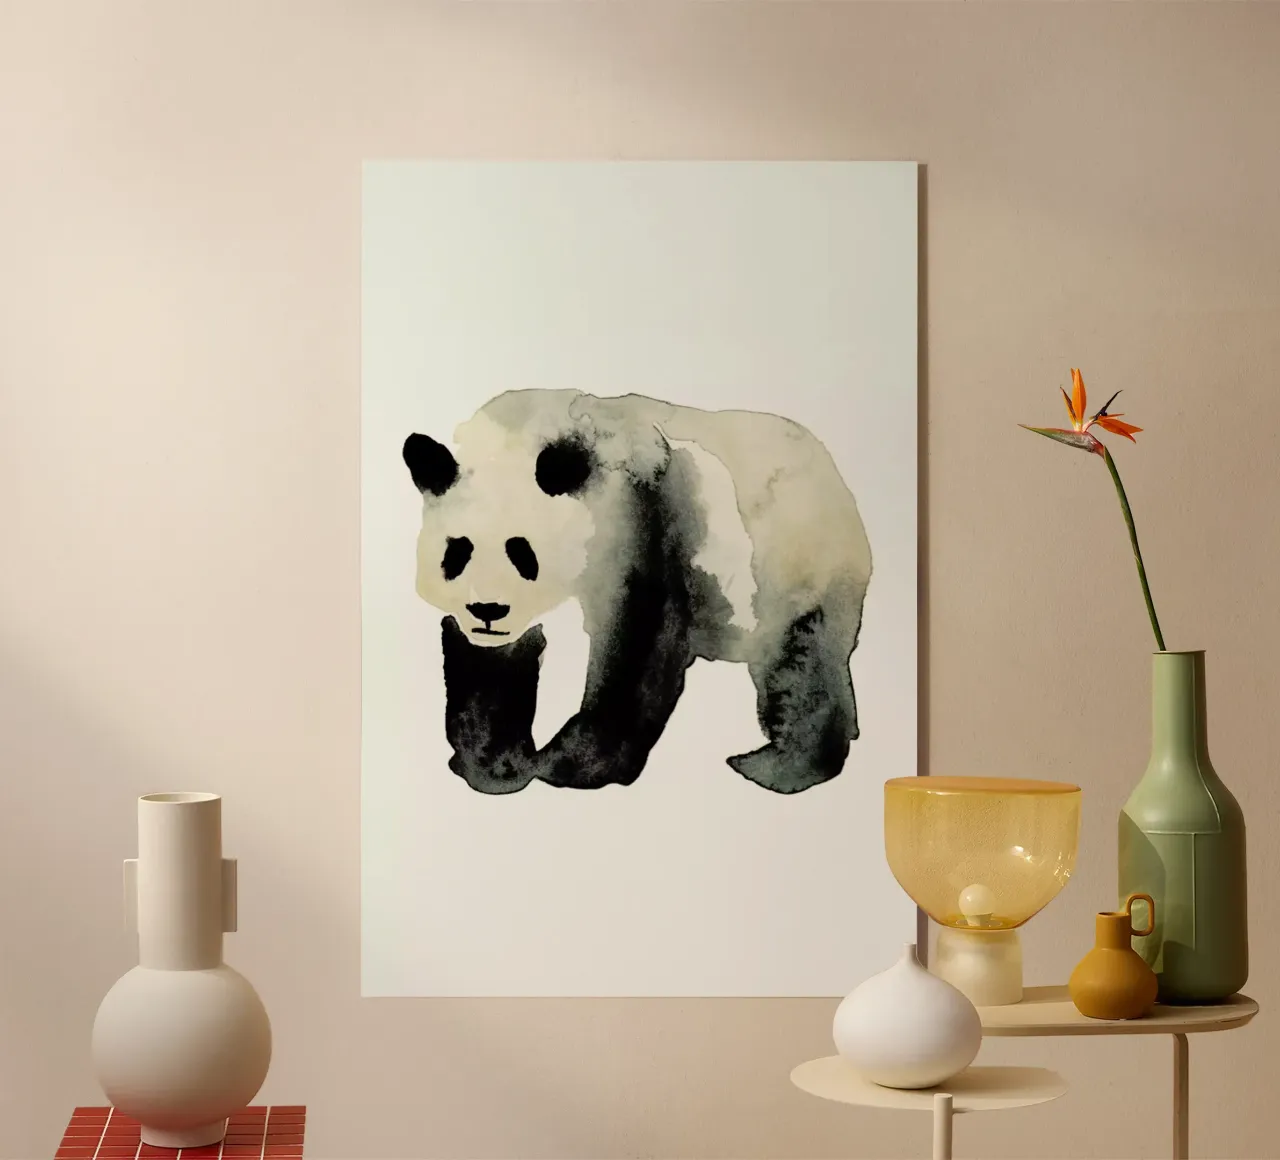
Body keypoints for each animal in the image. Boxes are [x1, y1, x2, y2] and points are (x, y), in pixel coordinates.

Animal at [403, 390, 872, 795]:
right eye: (458, 550)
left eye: (521, 551)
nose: (488, 609)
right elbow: (490, 668)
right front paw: (492, 765)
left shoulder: (642, 517)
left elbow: (637, 639)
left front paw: (569, 766)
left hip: (795, 563)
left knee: (800, 661)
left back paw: (777, 766)